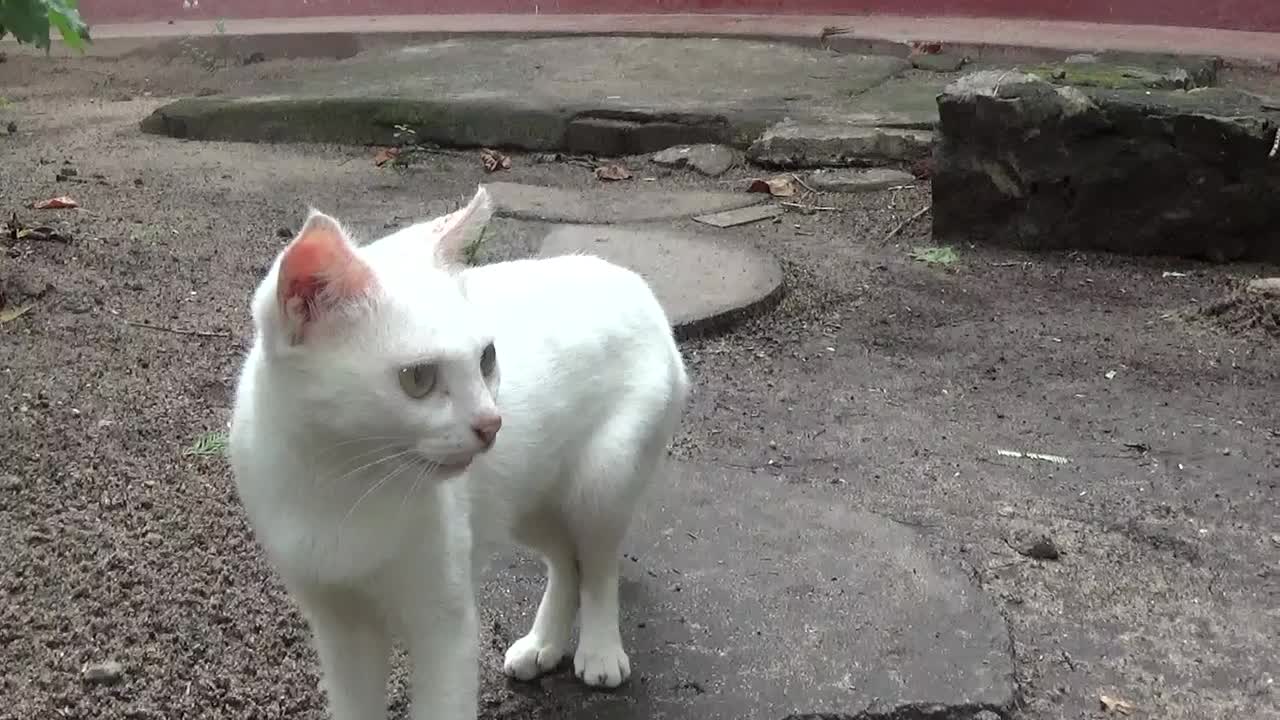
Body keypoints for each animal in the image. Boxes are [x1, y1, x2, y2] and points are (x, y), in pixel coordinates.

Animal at [230, 185, 691, 717]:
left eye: (486, 358)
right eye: (418, 378)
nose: (492, 424)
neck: (340, 482)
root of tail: (634, 281)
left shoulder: (443, 625)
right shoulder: (339, 627)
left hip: (602, 482)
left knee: (597, 563)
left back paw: (599, 651)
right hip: (523, 501)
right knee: (566, 560)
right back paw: (543, 645)